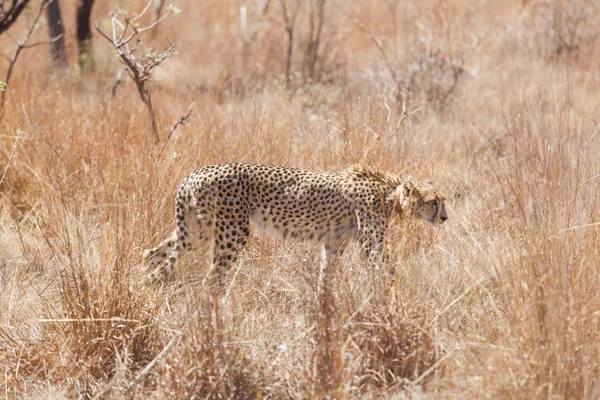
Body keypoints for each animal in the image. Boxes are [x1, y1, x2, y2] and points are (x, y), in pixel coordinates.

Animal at [144, 162, 446, 288]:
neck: (389, 192)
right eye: (433, 202)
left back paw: (147, 283)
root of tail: (194, 173)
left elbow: (327, 274)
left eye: (442, 200)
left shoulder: (334, 242)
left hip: (197, 232)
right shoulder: (372, 245)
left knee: (151, 254)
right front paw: (394, 301)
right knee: (212, 277)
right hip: (232, 232)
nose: (444, 218)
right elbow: (388, 270)